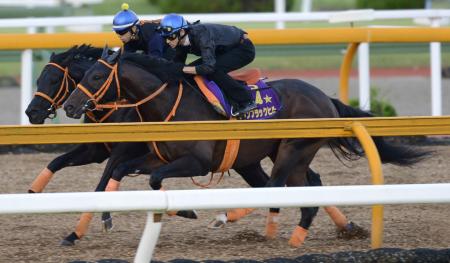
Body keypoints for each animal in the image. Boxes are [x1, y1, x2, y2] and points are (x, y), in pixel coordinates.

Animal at [62, 48, 426, 249]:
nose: (70, 106)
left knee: (275, 186)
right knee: (303, 187)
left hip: (292, 151)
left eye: (96, 77)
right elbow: (131, 172)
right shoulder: (155, 156)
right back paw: (297, 236)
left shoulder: (198, 162)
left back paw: (228, 217)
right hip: (283, 154)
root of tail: (324, 98)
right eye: (85, 74)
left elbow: (153, 180)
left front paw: (188, 211)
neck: (170, 104)